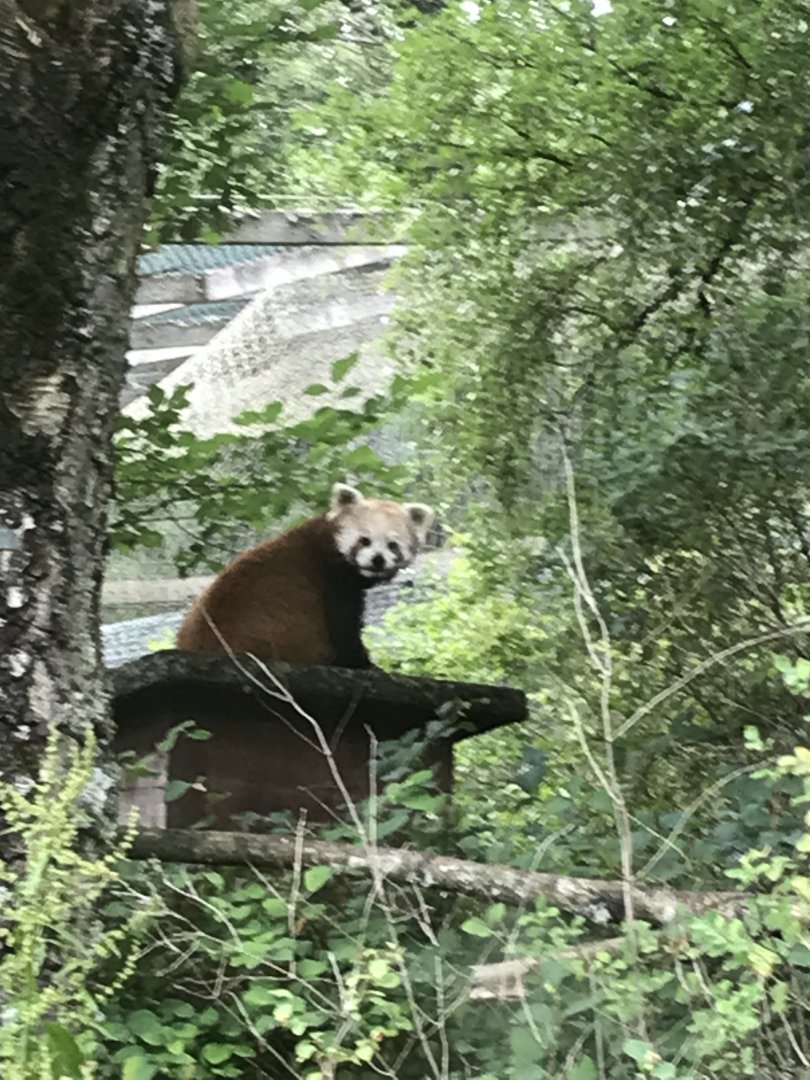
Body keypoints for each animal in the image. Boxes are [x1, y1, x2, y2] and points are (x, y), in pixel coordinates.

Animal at [175, 483, 435, 668]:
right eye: (364, 541)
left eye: (393, 545)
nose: (377, 560)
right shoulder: (332, 581)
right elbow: (344, 631)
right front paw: (363, 663)